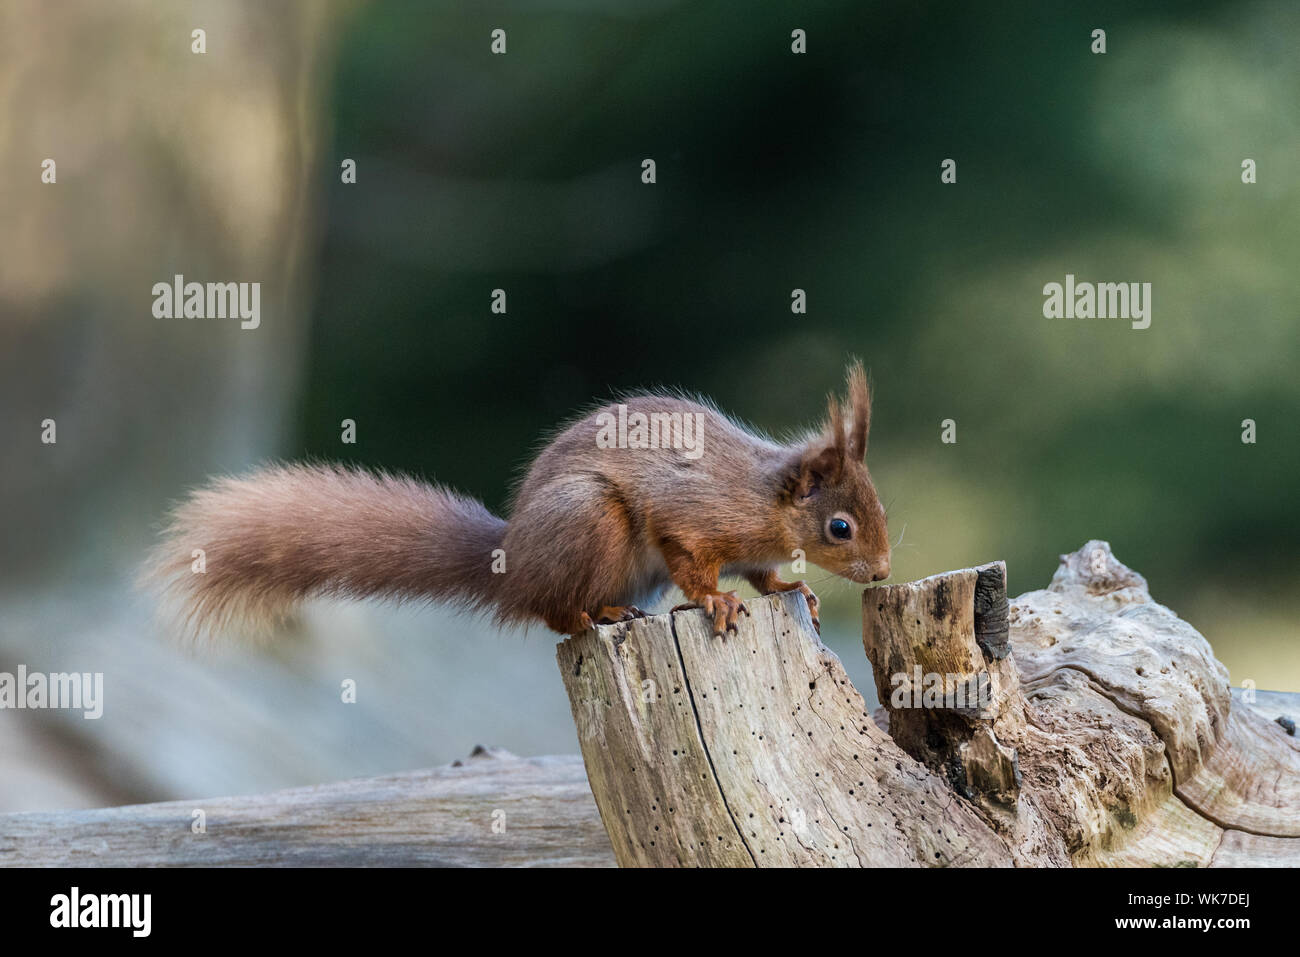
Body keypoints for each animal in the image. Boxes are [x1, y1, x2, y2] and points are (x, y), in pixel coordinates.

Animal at [144, 361, 894, 639]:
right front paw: (716, 600)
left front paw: (794, 591)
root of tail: (512, 564)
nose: (884, 572)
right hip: (590, 522)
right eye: (840, 526)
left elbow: (766, 573)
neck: (762, 496)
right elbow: (694, 562)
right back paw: (600, 613)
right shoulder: (691, 516)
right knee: (557, 614)